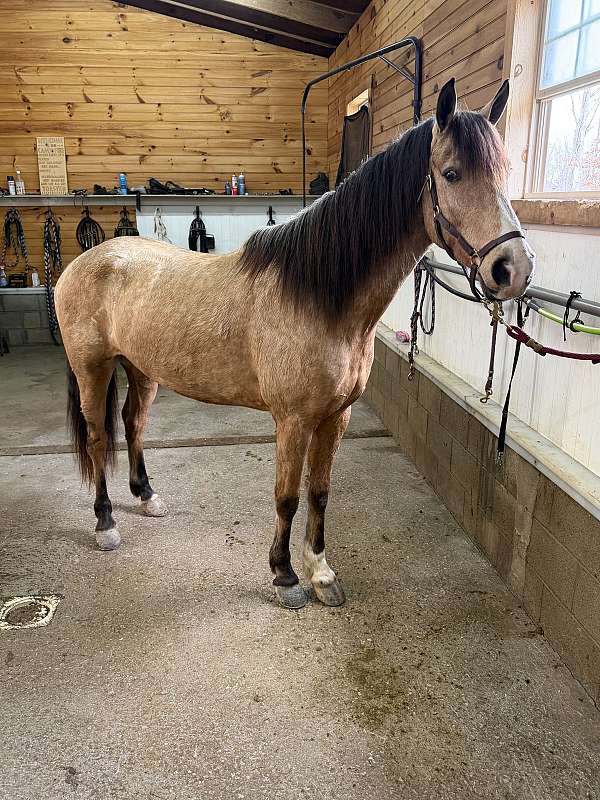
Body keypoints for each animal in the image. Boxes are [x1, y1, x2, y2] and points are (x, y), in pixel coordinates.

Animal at [55, 78, 535, 609]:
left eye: (504, 173)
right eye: (451, 174)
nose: (513, 269)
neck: (320, 297)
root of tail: (87, 260)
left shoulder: (336, 416)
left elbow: (319, 492)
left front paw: (321, 574)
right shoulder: (293, 420)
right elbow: (286, 496)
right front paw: (285, 576)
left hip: (141, 368)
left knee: (133, 423)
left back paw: (146, 496)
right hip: (93, 368)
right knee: (98, 438)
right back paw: (105, 522)